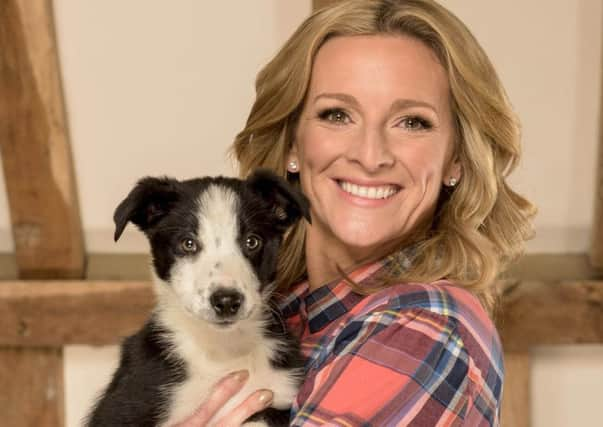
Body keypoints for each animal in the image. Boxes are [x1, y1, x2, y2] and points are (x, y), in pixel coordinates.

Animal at [88, 171, 312, 427]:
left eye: (252, 241)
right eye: (188, 243)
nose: (227, 301)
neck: (223, 349)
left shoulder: (280, 394)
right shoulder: (121, 408)